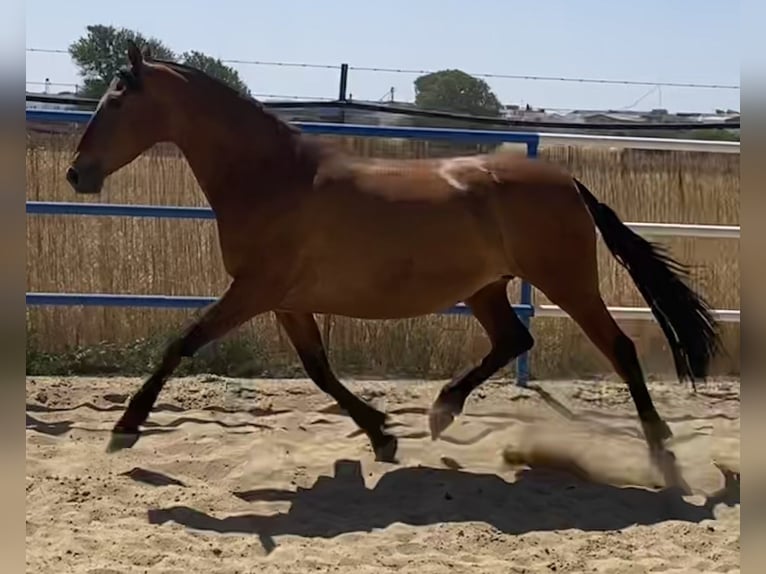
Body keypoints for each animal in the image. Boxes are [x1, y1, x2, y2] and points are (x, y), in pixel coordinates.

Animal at [64, 42, 720, 488]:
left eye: (116, 103)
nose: (76, 174)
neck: (274, 178)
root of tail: (568, 183)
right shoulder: (286, 300)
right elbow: (319, 371)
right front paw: (382, 434)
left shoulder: (255, 290)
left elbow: (183, 343)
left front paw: (125, 430)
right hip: (485, 288)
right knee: (514, 339)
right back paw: (441, 411)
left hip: (568, 281)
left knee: (619, 348)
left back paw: (662, 454)